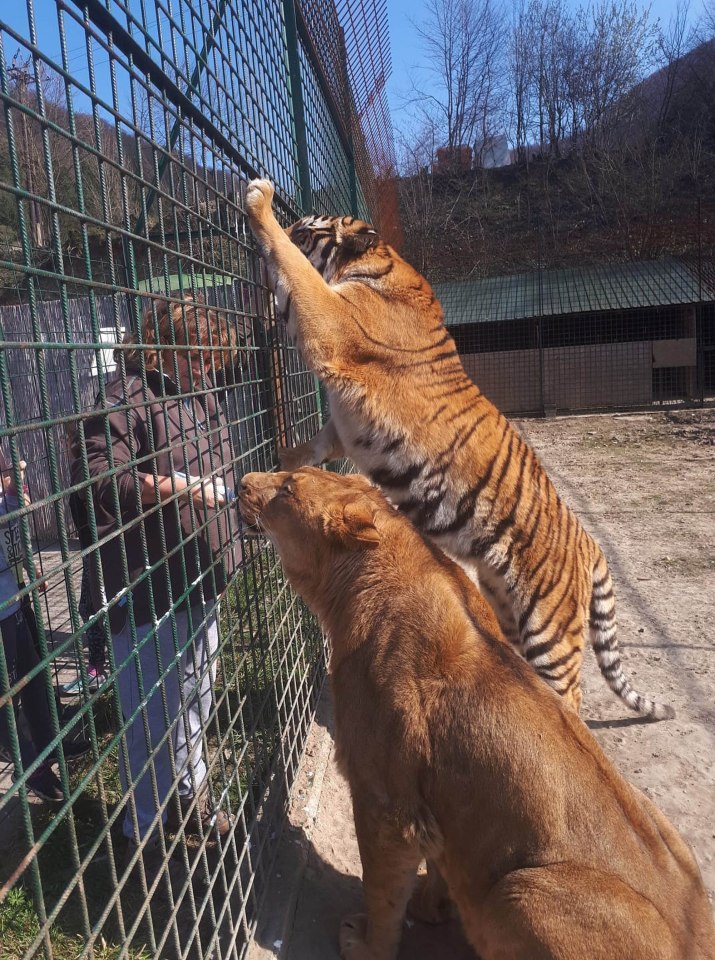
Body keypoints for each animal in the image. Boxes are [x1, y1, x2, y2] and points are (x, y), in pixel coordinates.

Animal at [246, 180, 676, 720]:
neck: (378, 263)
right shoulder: (342, 423)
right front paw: (285, 459)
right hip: (507, 606)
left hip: (550, 630)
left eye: (304, 229)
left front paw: (258, 200)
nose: (289, 221)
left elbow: (294, 272)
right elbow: (318, 444)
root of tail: (590, 544)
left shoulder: (330, 324)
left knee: (570, 695)